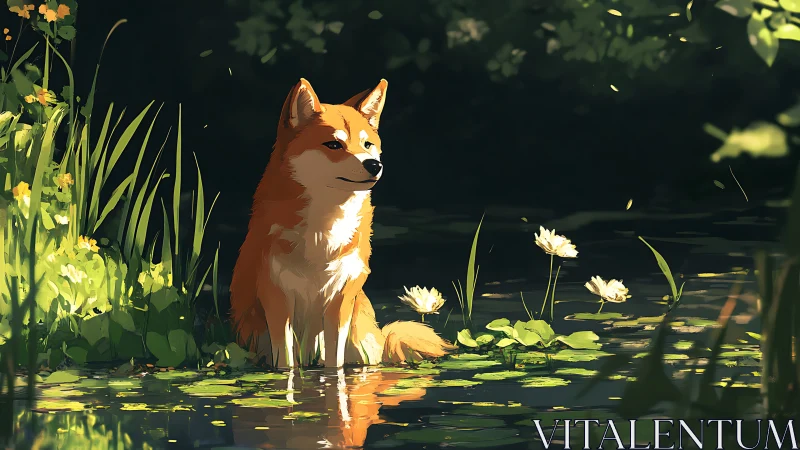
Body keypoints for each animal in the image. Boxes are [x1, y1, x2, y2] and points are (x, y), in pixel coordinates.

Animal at [229, 78, 456, 368]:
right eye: (334, 145)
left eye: (367, 145)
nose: (374, 165)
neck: (323, 229)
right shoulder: (278, 301)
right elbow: (287, 363)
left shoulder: (340, 300)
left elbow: (334, 364)